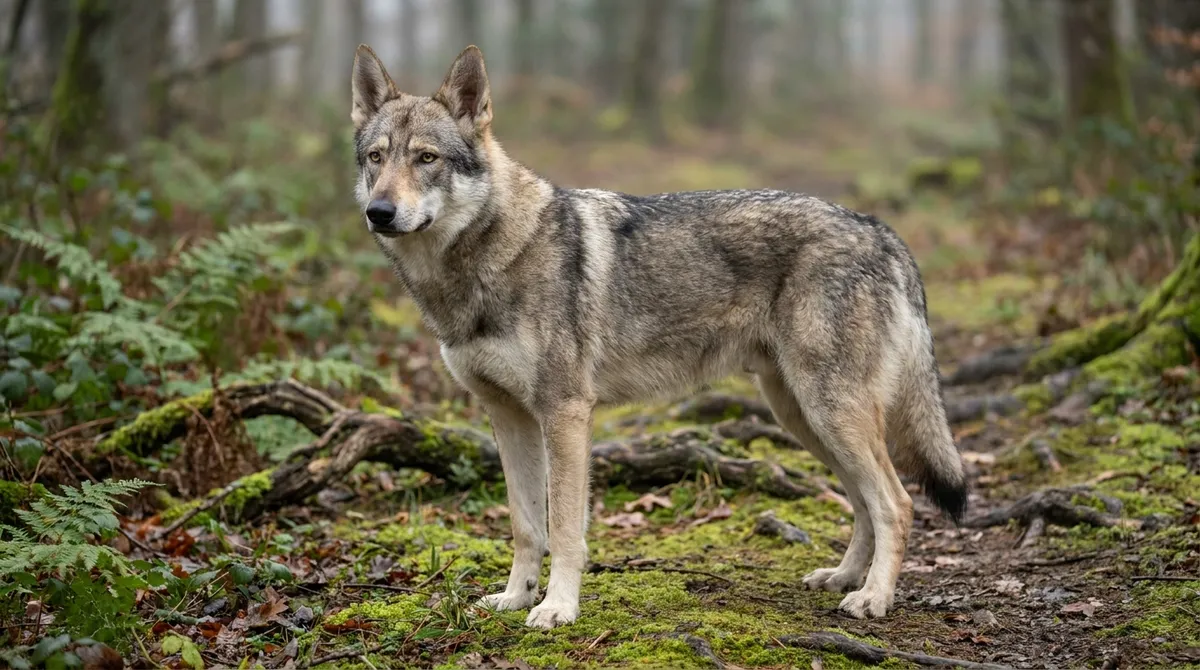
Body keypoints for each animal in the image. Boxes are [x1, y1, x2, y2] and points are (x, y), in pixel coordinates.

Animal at [349, 43, 967, 629]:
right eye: (377, 158)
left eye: (426, 158)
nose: (379, 212)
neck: (485, 260)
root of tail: (880, 229)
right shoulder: (508, 417)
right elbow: (526, 527)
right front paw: (514, 597)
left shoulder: (565, 413)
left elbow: (564, 529)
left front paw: (557, 608)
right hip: (804, 418)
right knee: (863, 502)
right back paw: (842, 577)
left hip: (831, 412)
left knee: (896, 503)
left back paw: (873, 598)